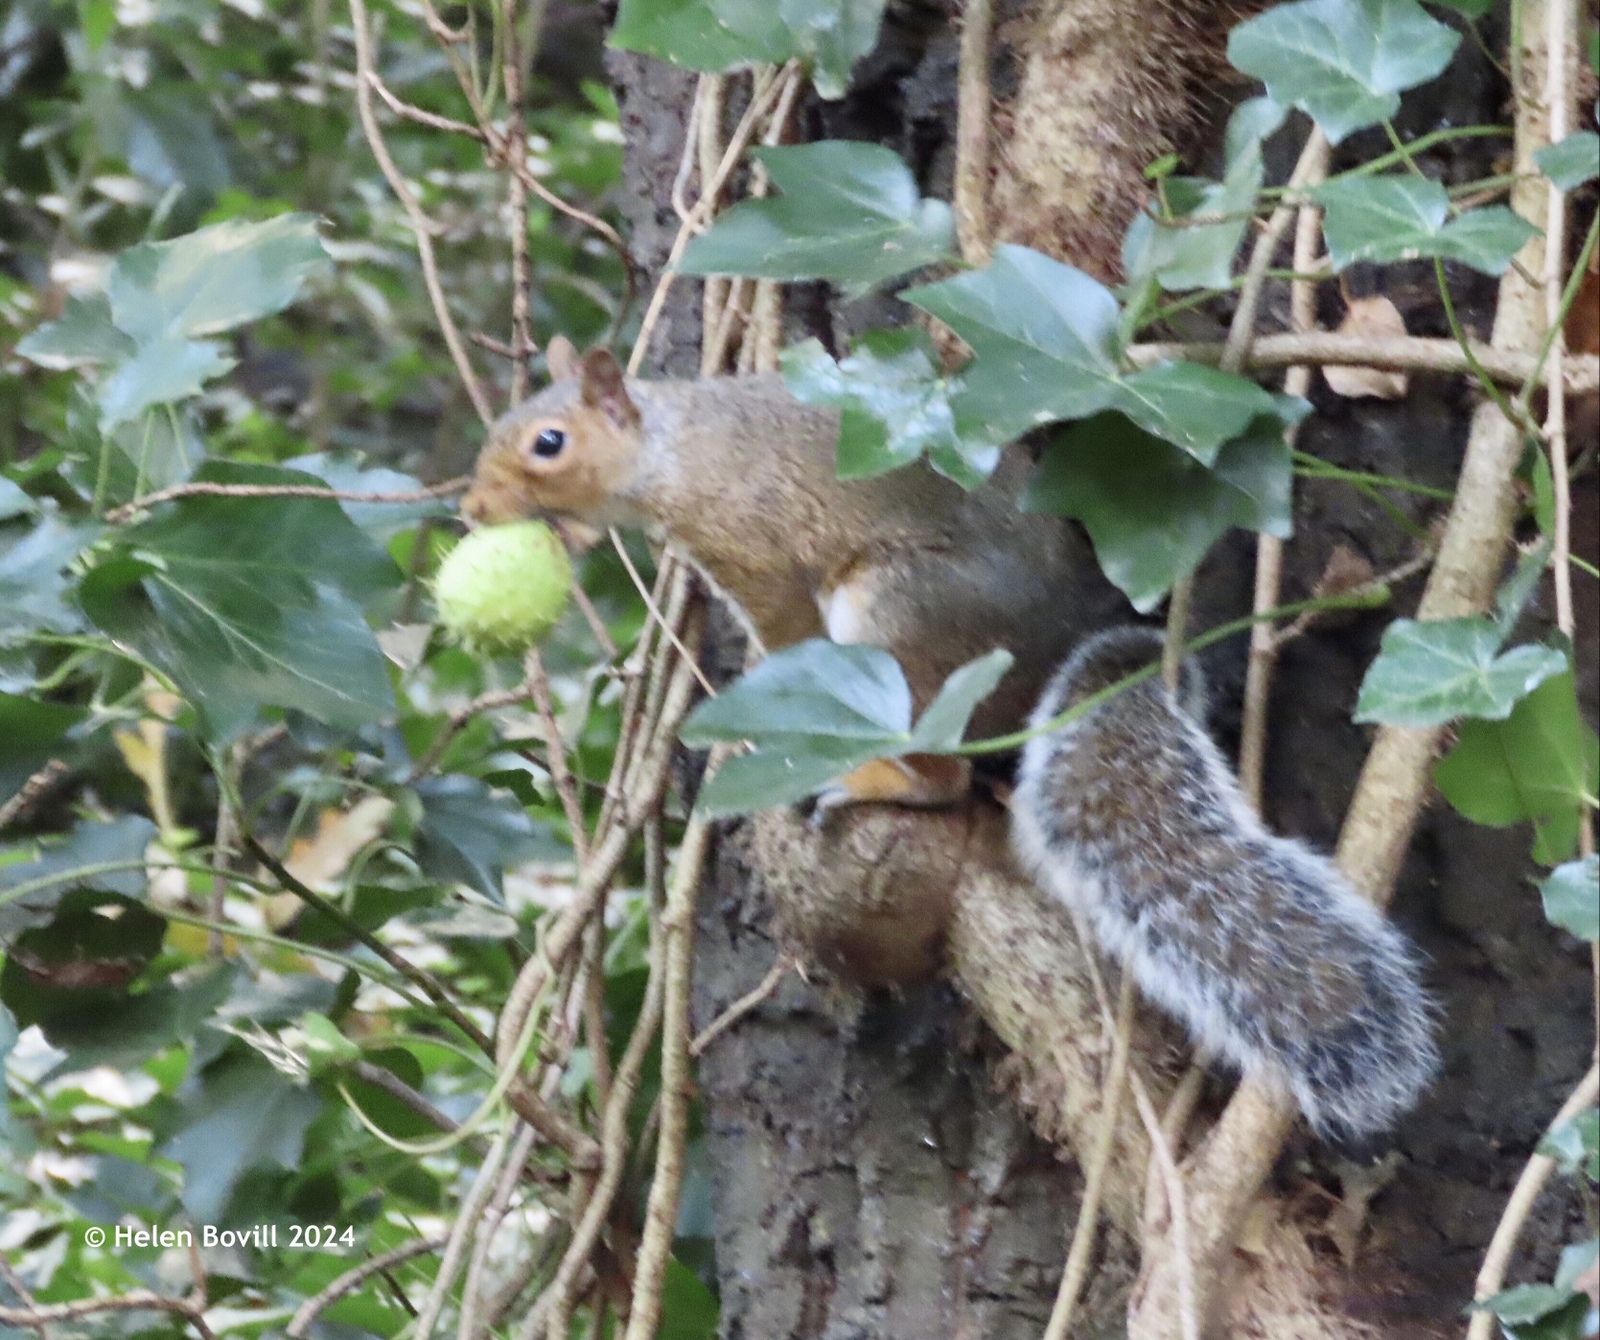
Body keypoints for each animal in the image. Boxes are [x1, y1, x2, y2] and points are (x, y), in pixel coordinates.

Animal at [460, 338, 1440, 1144]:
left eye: (548, 442)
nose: (472, 509)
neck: (674, 447)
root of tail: (1053, 661)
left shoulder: (755, 547)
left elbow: (782, 636)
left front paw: (762, 704)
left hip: (904, 623)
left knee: (943, 779)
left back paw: (873, 777)